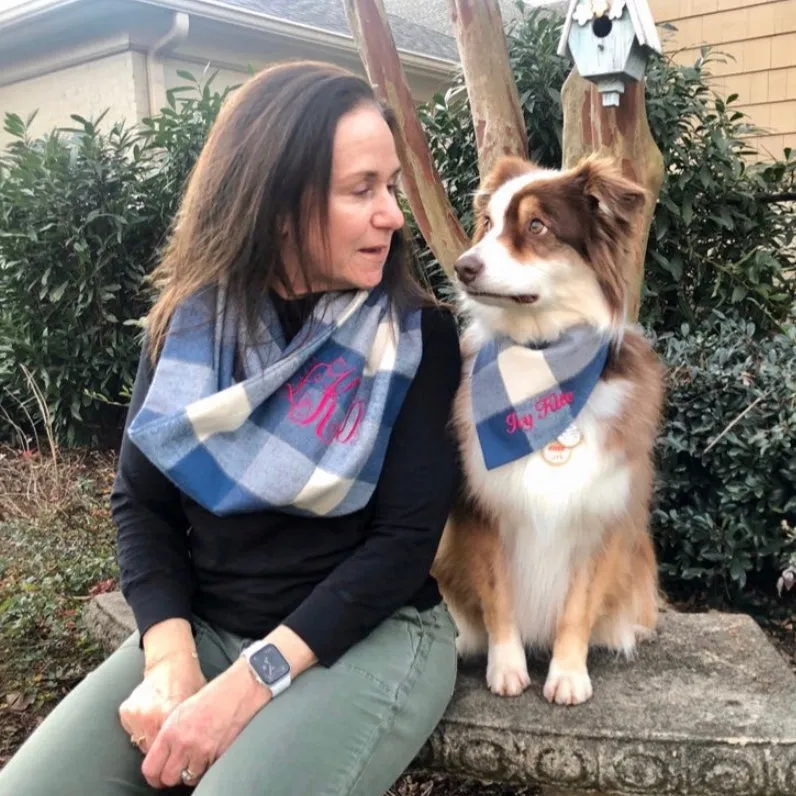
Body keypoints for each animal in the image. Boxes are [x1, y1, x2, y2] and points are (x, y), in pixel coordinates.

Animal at [432, 154, 664, 704]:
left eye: (536, 226)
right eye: (489, 222)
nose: (463, 266)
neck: (541, 357)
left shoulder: (601, 512)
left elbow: (578, 605)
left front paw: (567, 674)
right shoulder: (482, 508)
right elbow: (497, 595)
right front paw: (507, 667)